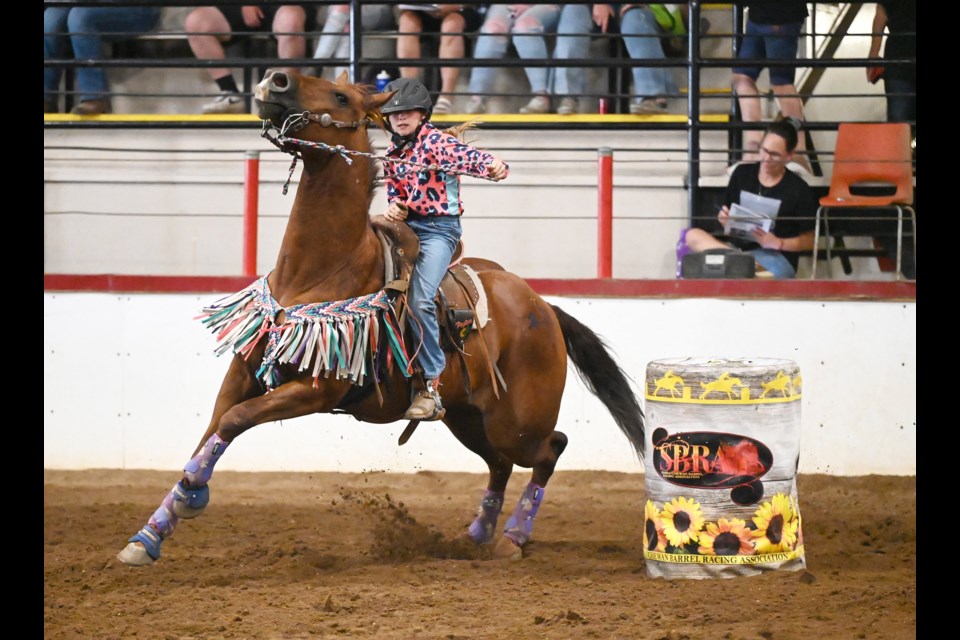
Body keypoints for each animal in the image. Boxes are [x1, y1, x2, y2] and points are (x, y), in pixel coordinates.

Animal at [118, 70, 644, 564]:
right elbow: (212, 429)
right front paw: (149, 535)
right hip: (469, 416)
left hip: (518, 420)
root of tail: (543, 307)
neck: (317, 270)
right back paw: (478, 533)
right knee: (499, 464)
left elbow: (235, 420)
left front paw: (190, 498)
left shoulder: (316, 389)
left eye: (340, 96)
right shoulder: (243, 370)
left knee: (549, 449)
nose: (275, 79)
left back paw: (512, 538)